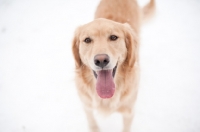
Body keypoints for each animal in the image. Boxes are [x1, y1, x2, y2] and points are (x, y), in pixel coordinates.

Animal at [71, 0, 155, 131]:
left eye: (113, 37)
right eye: (87, 40)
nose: (101, 60)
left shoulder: (129, 112)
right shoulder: (86, 105)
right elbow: (92, 122)